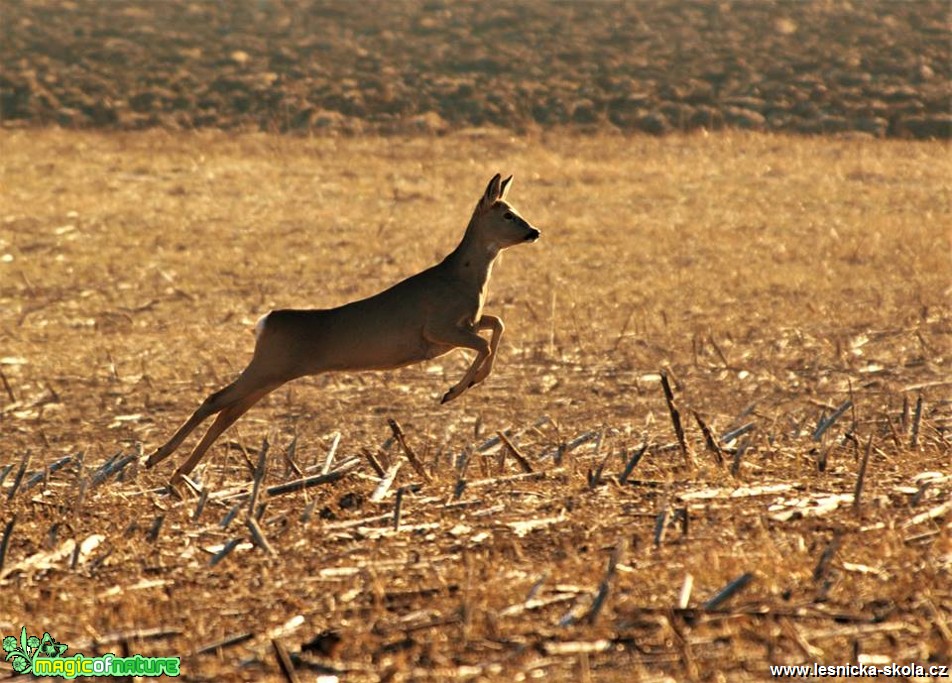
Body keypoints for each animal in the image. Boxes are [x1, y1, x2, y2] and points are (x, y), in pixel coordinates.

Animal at [145, 174, 540, 488]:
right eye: (507, 213)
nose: (534, 231)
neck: (463, 277)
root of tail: (266, 322)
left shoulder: (465, 324)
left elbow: (497, 324)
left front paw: (466, 385)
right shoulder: (436, 329)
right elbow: (484, 343)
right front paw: (454, 391)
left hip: (271, 375)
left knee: (226, 413)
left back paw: (178, 475)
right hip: (268, 368)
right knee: (215, 400)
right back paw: (156, 459)